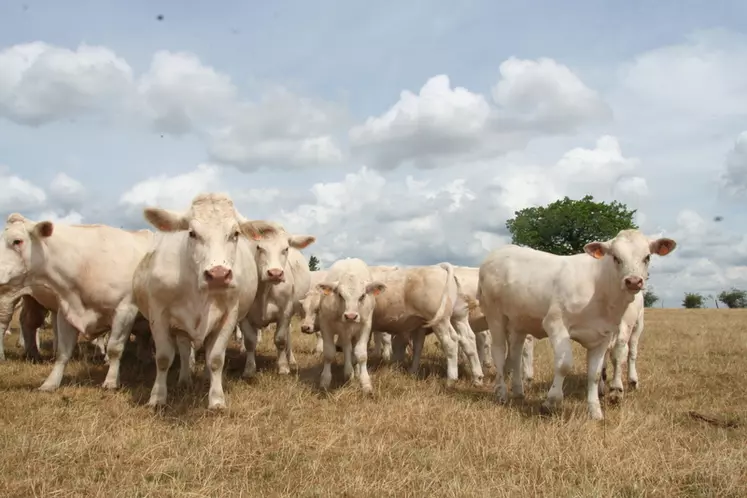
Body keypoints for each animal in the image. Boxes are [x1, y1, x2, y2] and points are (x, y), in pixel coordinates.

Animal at [0, 212, 156, 392]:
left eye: (17, 241)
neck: (85, 263)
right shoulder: (66, 311)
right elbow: (63, 352)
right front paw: (51, 383)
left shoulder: (125, 310)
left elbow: (115, 348)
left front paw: (111, 381)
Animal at [132, 193, 278, 410]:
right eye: (192, 233)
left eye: (235, 233)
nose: (218, 275)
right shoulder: (158, 314)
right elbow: (164, 358)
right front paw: (157, 397)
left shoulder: (229, 316)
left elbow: (216, 358)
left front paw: (216, 399)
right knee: (185, 350)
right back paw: (184, 379)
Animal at [243, 222, 316, 378]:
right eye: (259, 247)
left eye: (286, 248)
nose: (275, 273)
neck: (264, 290)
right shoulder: (243, 316)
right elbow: (250, 341)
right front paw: (249, 369)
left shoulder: (285, 312)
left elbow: (281, 340)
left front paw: (283, 367)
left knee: (288, 337)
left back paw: (291, 360)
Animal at [316, 256, 388, 392]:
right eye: (340, 295)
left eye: (362, 296)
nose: (351, 316)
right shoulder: (325, 325)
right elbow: (329, 353)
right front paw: (325, 381)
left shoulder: (365, 326)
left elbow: (361, 354)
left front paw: (365, 382)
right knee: (347, 349)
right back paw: (348, 372)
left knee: (352, 351)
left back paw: (355, 372)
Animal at [480, 230, 676, 420]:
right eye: (615, 257)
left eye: (647, 257)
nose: (633, 281)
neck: (599, 286)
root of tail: (498, 252)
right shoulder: (555, 324)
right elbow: (564, 365)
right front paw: (551, 402)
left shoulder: (603, 336)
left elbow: (595, 373)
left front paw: (595, 411)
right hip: (495, 316)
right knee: (499, 352)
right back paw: (501, 393)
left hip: (519, 321)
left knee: (515, 353)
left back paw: (518, 391)